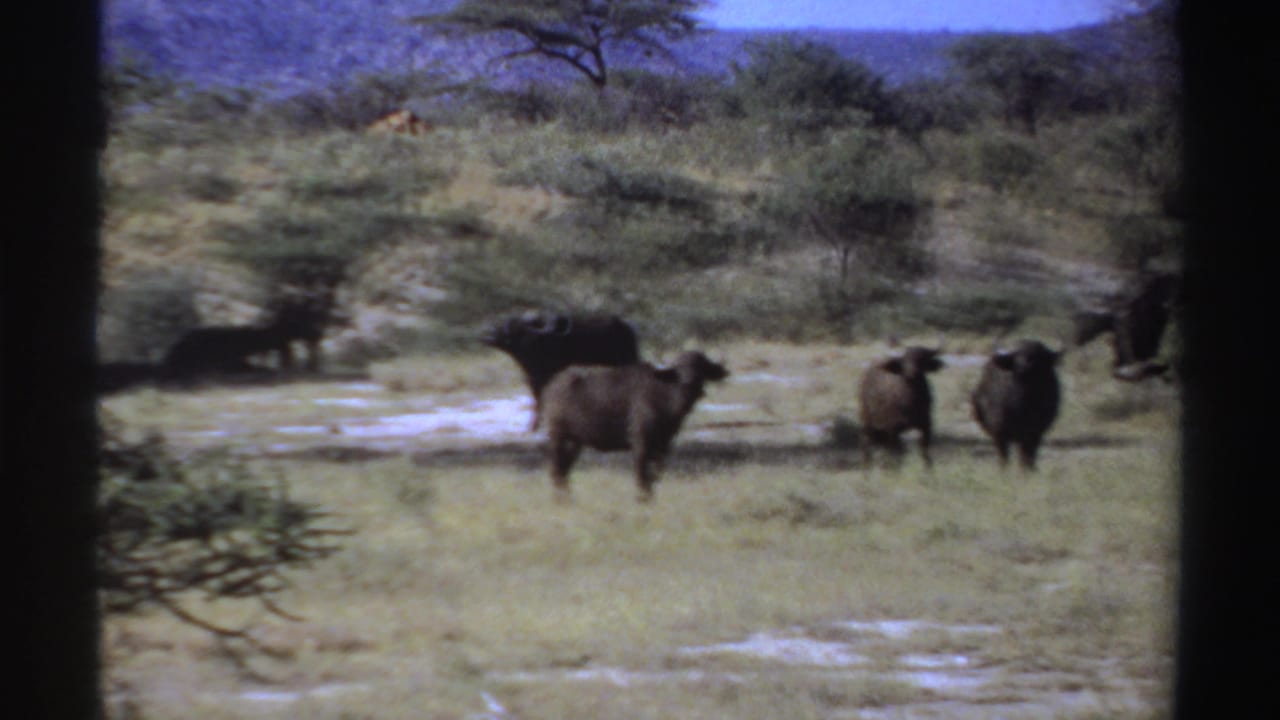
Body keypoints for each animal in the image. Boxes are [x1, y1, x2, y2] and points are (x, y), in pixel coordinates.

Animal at [481, 312, 641, 429]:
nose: (490, 333)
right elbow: (537, 399)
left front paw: (536, 425)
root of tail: (626, 328)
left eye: (514, 326)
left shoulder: (545, 377)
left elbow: (541, 400)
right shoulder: (534, 379)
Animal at [539, 351, 729, 502]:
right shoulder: (640, 442)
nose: (689, 381)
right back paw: (560, 500)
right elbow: (641, 474)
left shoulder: (663, 446)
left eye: (701, 366)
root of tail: (552, 386)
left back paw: (567, 499)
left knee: (564, 469)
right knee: (555, 468)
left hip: (575, 441)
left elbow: (655, 475)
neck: (666, 396)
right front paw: (641, 499)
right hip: (558, 436)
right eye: (679, 367)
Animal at [971, 340, 1062, 470]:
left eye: (1039, 354)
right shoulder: (1000, 433)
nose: (1027, 364)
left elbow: (1027, 456)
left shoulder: (1034, 433)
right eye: (1017, 354)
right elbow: (1003, 456)